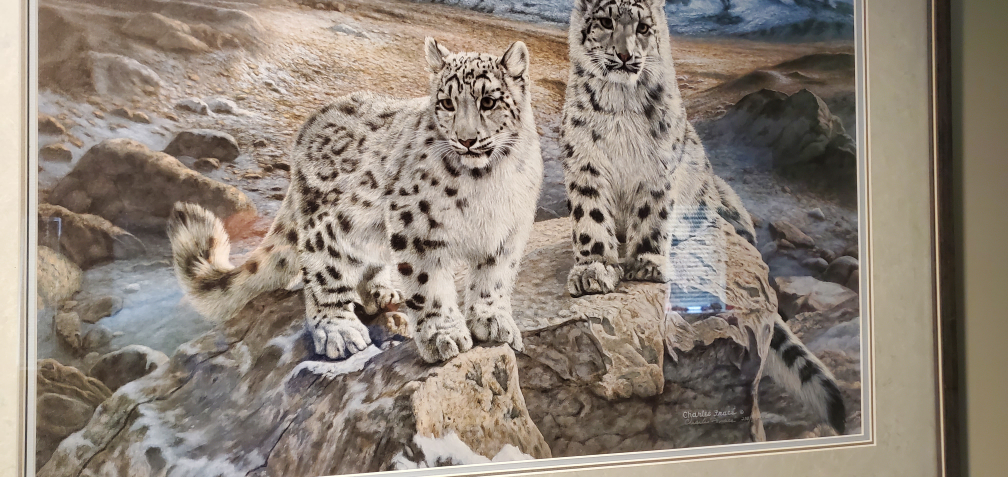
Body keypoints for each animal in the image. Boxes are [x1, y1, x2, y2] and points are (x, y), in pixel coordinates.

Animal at [167, 38, 543, 364]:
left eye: (489, 101)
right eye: (447, 103)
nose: (467, 140)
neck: (487, 183)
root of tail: (307, 128)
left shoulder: (509, 231)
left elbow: (495, 280)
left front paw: (494, 324)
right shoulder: (417, 228)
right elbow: (429, 285)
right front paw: (443, 337)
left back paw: (382, 292)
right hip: (332, 226)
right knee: (322, 275)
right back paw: (340, 332)